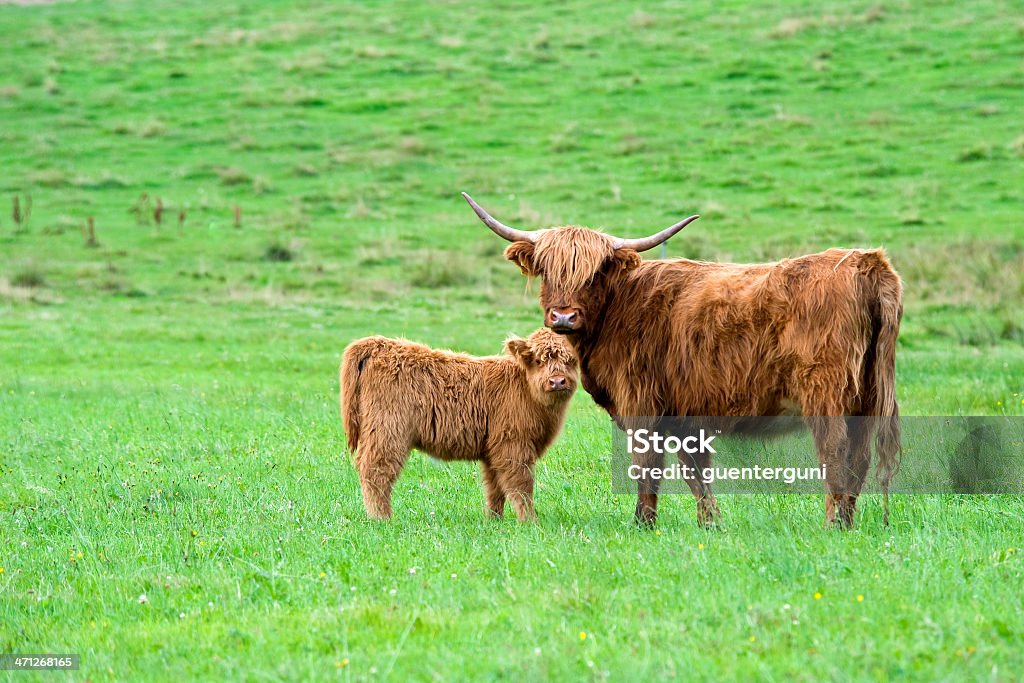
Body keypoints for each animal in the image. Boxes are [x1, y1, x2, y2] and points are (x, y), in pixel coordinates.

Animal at [342, 327, 577, 520]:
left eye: (571, 360)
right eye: (539, 361)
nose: (557, 381)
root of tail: (382, 344)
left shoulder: (493, 451)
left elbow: (494, 488)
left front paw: (494, 520)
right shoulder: (513, 446)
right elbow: (521, 485)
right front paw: (529, 521)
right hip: (389, 430)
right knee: (376, 470)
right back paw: (382, 519)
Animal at [464, 192, 905, 528]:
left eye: (595, 272)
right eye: (546, 269)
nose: (562, 317)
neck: (620, 307)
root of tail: (865, 262)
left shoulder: (641, 404)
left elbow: (647, 467)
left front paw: (642, 524)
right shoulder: (684, 416)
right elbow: (696, 472)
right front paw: (711, 524)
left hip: (826, 392)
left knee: (836, 453)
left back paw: (833, 524)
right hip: (869, 394)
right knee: (860, 457)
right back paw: (847, 522)